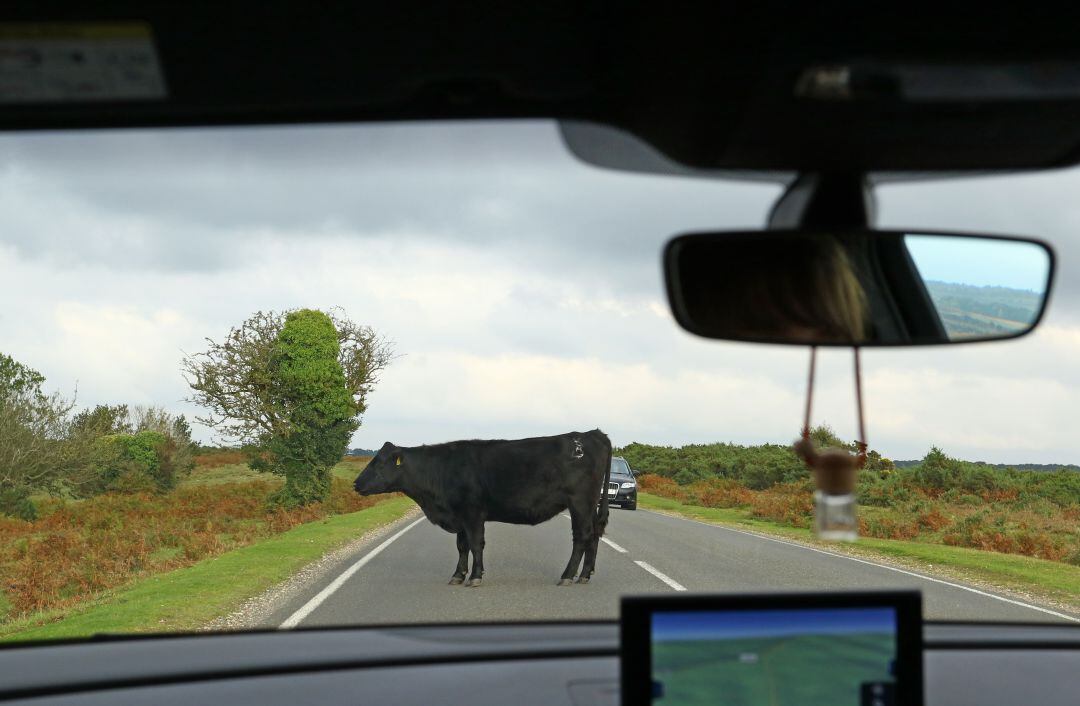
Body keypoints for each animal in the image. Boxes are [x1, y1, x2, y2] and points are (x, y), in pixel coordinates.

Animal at [352, 429, 609, 587]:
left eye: (380, 464)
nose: (355, 484)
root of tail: (591, 434)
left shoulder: (472, 513)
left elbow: (476, 544)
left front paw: (475, 577)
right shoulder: (459, 516)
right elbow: (462, 546)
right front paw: (458, 575)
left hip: (580, 502)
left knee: (582, 536)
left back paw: (567, 576)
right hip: (589, 506)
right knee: (594, 534)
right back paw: (585, 575)